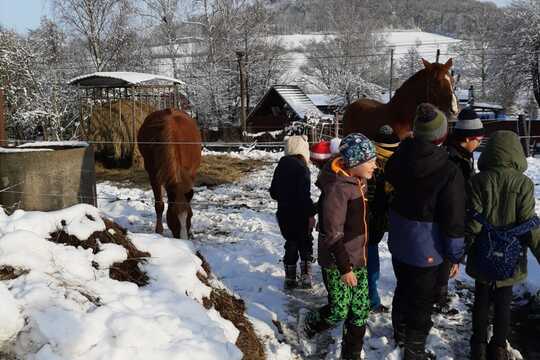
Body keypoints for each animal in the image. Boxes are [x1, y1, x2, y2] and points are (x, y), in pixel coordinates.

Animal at [136, 108, 201, 240]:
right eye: (173, 215)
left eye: (190, 215)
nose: (184, 240)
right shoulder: (154, 176)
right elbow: (159, 205)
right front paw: (159, 231)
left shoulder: (191, 174)